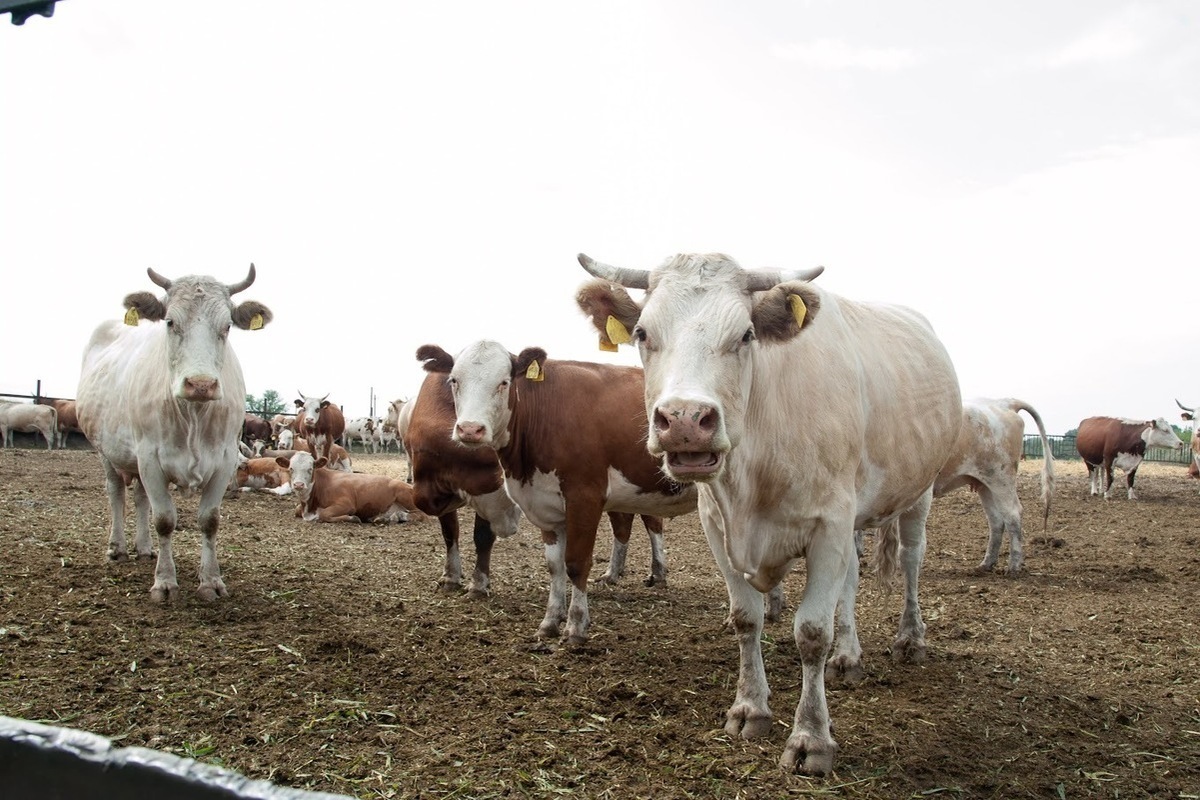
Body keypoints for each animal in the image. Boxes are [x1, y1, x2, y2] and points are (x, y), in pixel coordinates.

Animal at [75, 266, 272, 604]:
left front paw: (211, 581)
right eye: (169, 321)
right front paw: (165, 583)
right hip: (105, 451)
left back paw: (144, 548)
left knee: (140, 497)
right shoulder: (150, 458)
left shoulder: (224, 460)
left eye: (227, 326)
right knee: (116, 493)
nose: (201, 384)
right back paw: (118, 548)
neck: (193, 414)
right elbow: (165, 520)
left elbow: (209, 521)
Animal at [278, 450, 420, 525]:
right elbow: (296, 510)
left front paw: (353, 518)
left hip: (404, 496)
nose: (298, 485)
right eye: (291, 469)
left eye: (310, 469)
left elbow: (324, 514)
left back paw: (400, 516)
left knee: (420, 515)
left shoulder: (346, 504)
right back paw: (384, 518)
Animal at [420, 340, 696, 642]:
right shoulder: (546, 504)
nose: (470, 430)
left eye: (504, 382)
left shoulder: (585, 498)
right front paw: (550, 621)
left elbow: (576, 563)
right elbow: (555, 566)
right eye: (454, 380)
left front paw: (576, 625)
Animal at [576, 251, 960, 777]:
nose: (684, 421)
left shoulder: (828, 525)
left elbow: (811, 632)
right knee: (851, 581)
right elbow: (746, 619)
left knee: (911, 561)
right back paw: (849, 657)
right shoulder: (718, 525)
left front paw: (811, 738)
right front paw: (749, 708)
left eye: (745, 335)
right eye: (642, 333)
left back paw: (910, 640)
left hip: (918, 490)